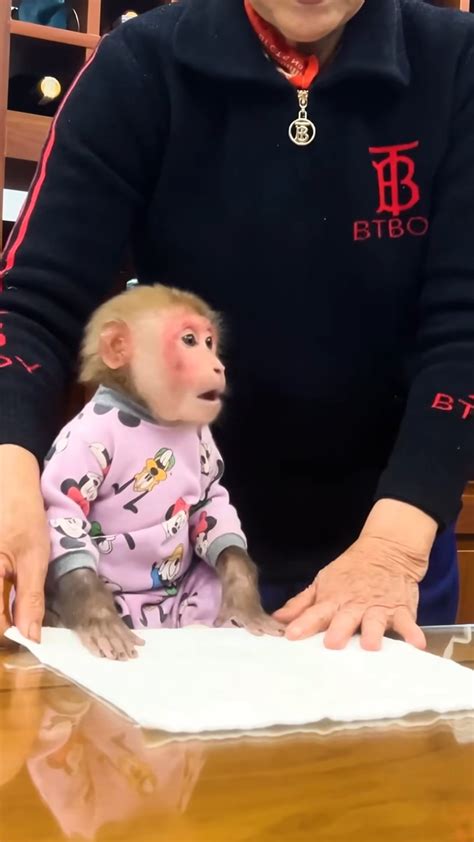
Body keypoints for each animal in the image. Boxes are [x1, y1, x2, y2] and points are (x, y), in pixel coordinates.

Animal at [42, 284, 285, 659]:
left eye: (209, 342)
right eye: (189, 340)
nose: (218, 366)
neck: (148, 415)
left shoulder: (202, 440)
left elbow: (209, 504)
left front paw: (243, 595)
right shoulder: (83, 439)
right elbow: (66, 513)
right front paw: (96, 615)